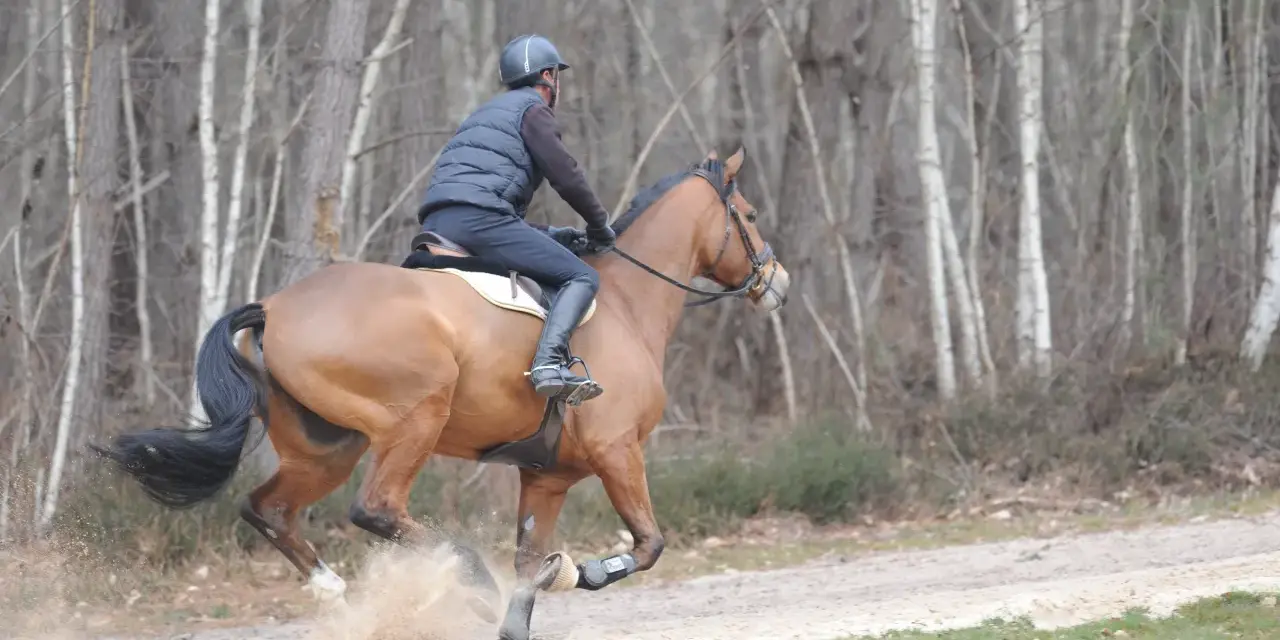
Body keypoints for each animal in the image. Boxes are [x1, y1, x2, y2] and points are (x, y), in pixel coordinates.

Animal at [90, 146, 790, 640]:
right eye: (751, 217)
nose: (777, 282)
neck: (624, 303)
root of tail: (273, 307)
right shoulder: (619, 452)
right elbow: (645, 546)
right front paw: (579, 571)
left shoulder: (548, 478)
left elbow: (529, 571)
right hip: (416, 419)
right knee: (375, 509)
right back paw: (465, 577)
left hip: (328, 448)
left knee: (268, 509)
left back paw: (334, 590)